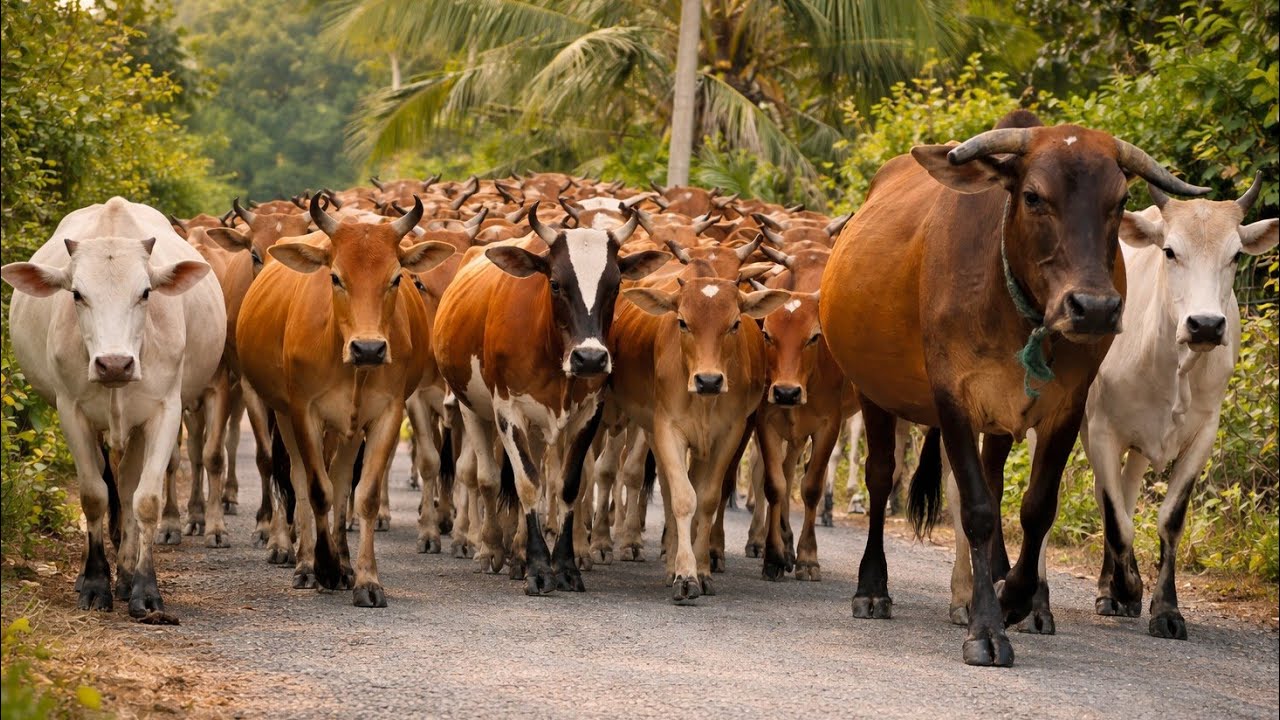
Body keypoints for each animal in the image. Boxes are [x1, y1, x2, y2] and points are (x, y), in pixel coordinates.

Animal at [2, 197, 225, 617]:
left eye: (146, 292)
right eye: (76, 294)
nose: (115, 364)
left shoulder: (165, 411)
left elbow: (146, 499)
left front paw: (144, 588)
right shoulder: (70, 411)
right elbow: (93, 496)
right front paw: (94, 583)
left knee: (127, 485)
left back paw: (125, 575)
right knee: (110, 485)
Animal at [236, 195, 453, 606]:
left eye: (397, 278)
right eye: (335, 277)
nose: (368, 348)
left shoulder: (387, 413)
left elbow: (362, 494)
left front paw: (366, 579)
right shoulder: (304, 411)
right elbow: (317, 490)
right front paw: (322, 567)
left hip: (350, 428)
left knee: (340, 478)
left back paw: (345, 562)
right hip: (282, 412)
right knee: (300, 477)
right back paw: (306, 563)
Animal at [433, 202, 668, 594]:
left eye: (616, 285)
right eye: (555, 283)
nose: (590, 358)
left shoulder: (588, 412)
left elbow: (568, 485)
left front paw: (565, 566)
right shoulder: (508, 411)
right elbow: (527, 483)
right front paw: (539, 568)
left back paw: (517, 553)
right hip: (470, 408)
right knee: (487, 477)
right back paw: (491, 549)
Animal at [819, 111, 1209, 666]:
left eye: (1119, 201)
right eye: (1033, 196)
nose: (1094, 308)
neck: (1015, 307)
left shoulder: (1064, 408)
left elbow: (1036, 508)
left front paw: (1013, 599)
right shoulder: (953, 399)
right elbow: (979, 511)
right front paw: (986, 628)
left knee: (990, 482)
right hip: (872, 393)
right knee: (880, 479)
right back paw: (873, 588)